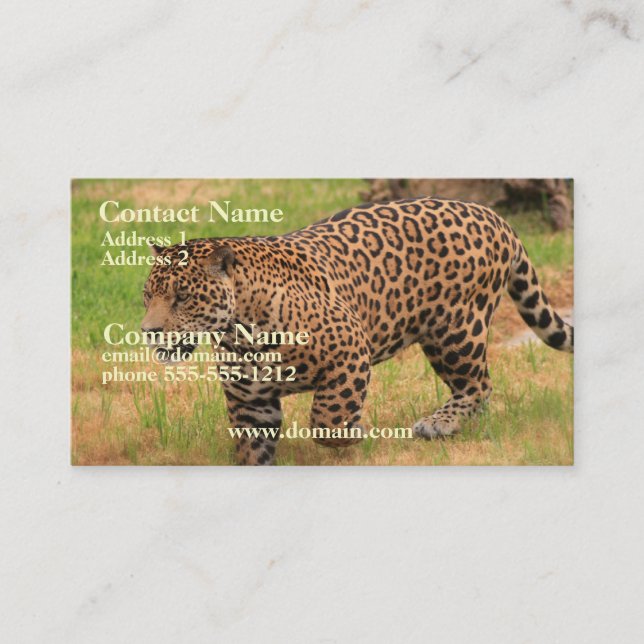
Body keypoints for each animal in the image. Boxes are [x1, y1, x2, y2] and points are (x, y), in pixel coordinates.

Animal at [141, 197, 573, 465]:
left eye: (182, 297)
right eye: (147, 296)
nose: (148, 331)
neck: (240, 332)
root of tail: (494, 216)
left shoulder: (349, 350)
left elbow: (327, 419)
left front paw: (354, 433)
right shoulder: (251, 404)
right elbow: (252, 453)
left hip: (454, 330)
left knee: (478, 384)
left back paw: (440, 423)